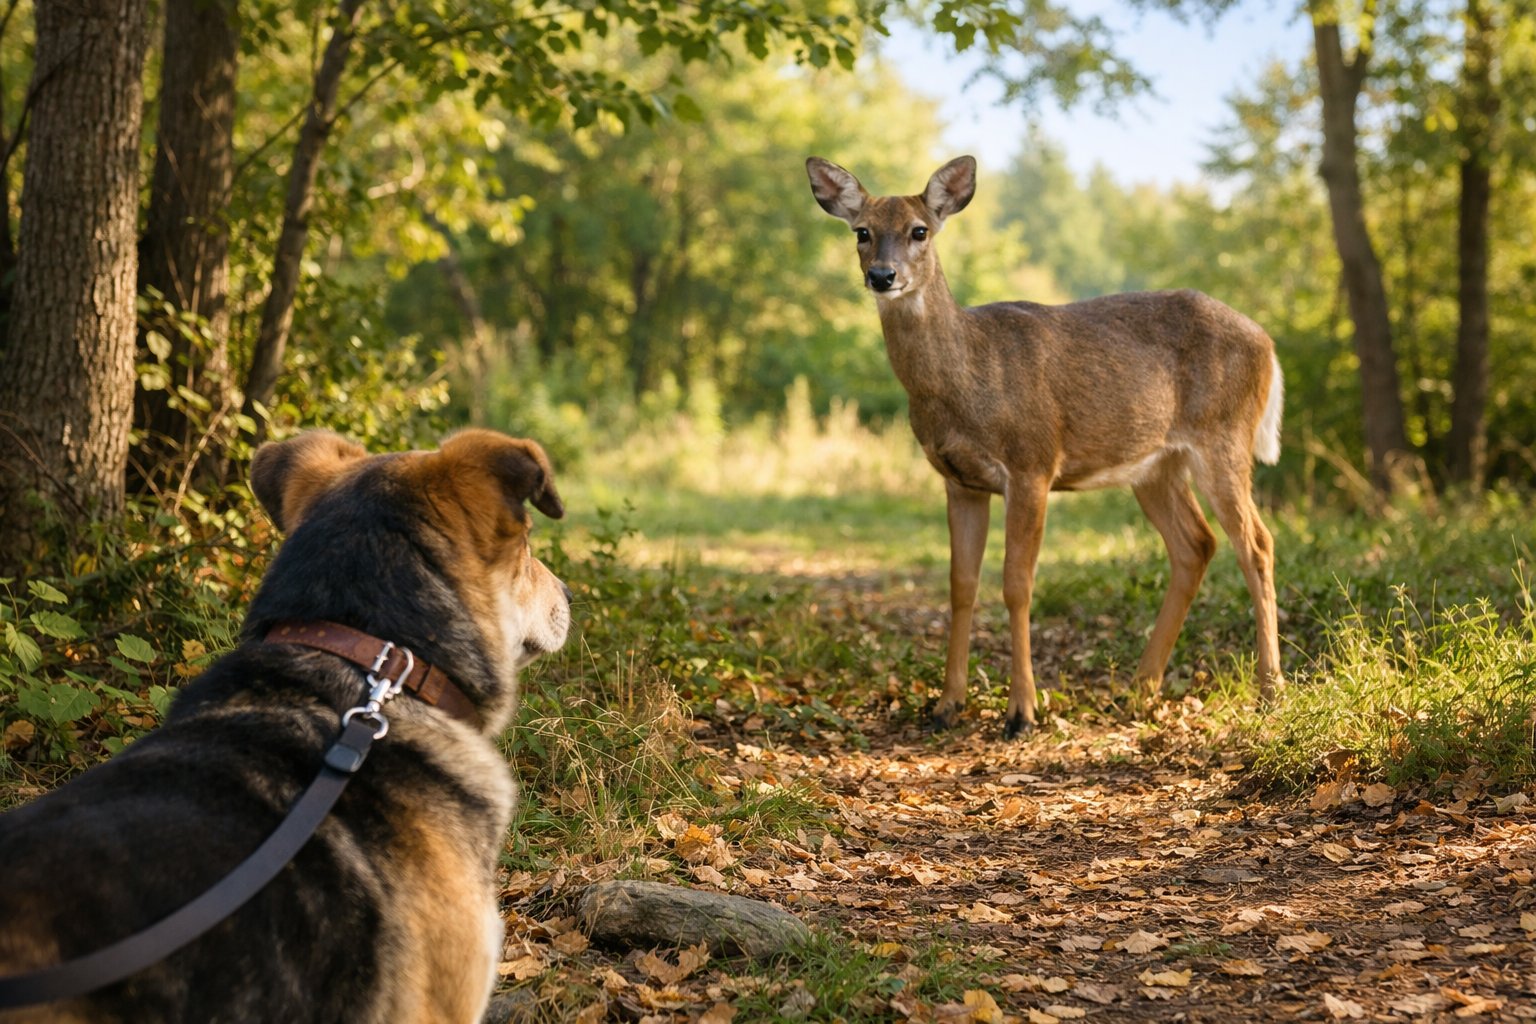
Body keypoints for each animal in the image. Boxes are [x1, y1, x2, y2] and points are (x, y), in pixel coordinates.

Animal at [805, 155, 1283, 739]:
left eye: (920, 230)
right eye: (862, 232)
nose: (882, 275)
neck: (967, 378)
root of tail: (1268, 343)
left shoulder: (1031, 463)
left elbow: (1017, 584)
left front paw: (1022, 712)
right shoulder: (959, 480)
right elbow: (961, 585)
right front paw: (946, 705)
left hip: (1224, 438)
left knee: (1256, 543)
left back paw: (1269, 691)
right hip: (1155, 466)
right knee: (1196, 544)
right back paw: (1138, 690)